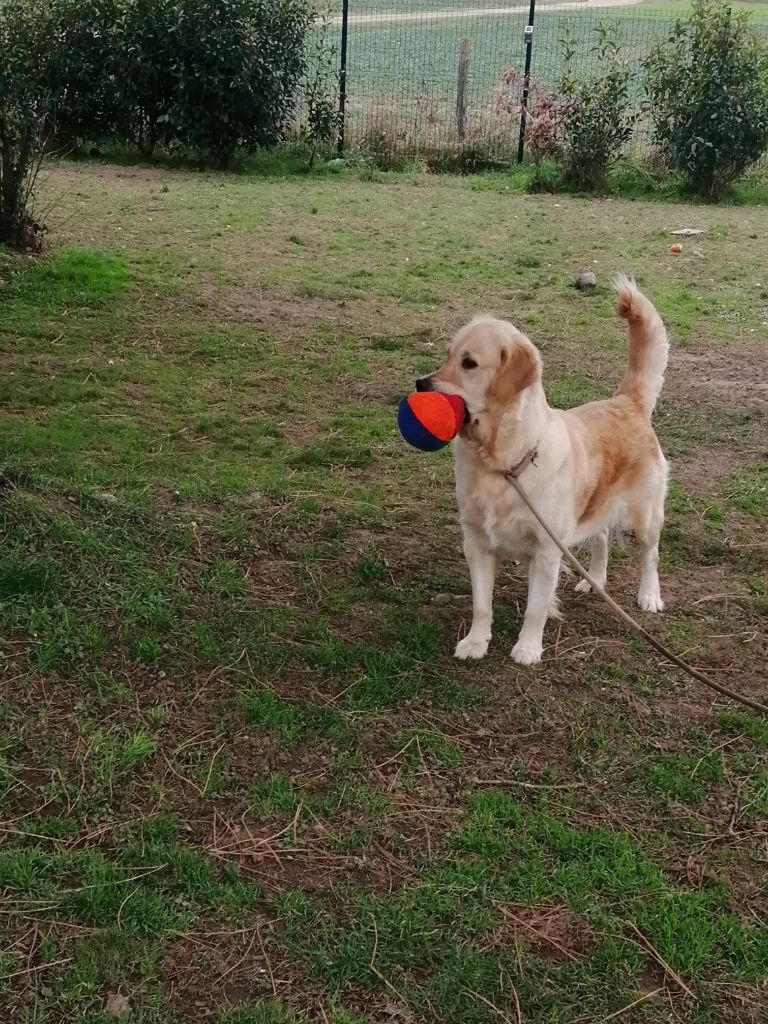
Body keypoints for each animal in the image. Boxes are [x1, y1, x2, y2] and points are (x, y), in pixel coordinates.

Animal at [417, 276, 671, 667]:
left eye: (469, 363)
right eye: (447, 356)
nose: (420, 385)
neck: (503, 463)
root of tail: (626, 401)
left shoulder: (547, 550)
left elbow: (535, 608)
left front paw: (527, 648)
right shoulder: (476, 542)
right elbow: (481, 605)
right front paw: (475, 642)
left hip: (644, 515)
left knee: (650, 554)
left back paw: (649, 595)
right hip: (594, 506)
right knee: (601, 539)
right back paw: (595, 580)